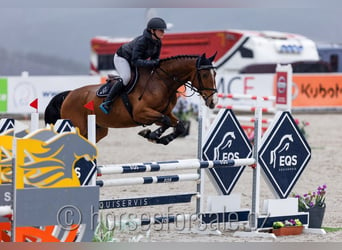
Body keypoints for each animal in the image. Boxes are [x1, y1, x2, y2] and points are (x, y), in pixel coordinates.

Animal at [44, 53, 216, 146]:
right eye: (204, 74)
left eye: (215, 74)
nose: (212, 102)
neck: (162, 82)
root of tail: (69, 94)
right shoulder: (141, 113)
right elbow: (166, 121)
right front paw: (150, 135)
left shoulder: (162, 113)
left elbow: (178, 125)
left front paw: (161, 139)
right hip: (79, 125)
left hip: (99, 129)